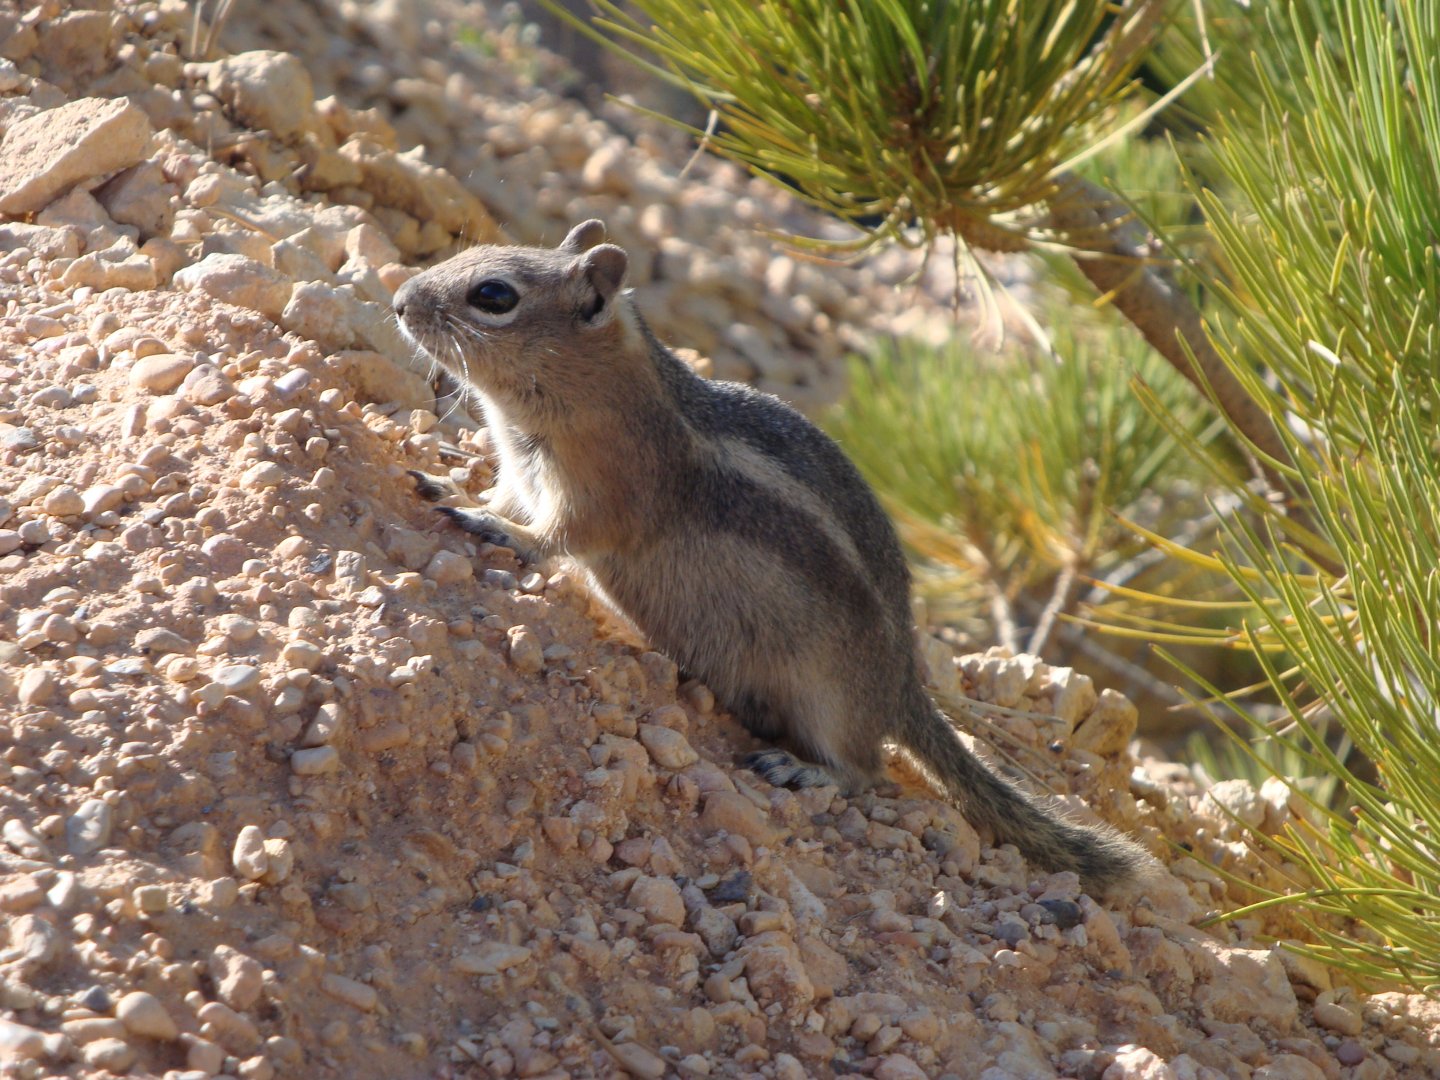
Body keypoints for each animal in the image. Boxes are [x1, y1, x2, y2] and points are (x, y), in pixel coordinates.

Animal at [392, 219, 1151, 895]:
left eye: (494, 296)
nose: (398, 301)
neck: (597, 388)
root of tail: (902, 686)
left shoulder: (605, 494)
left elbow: (555, 539)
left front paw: (488, 525)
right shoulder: (522, 474)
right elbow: (504, 494)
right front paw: (451, 484)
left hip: (827, 697)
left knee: (867, 770)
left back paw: (806, 771)